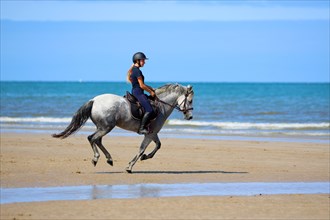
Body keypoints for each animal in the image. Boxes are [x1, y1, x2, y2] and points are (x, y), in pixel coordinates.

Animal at [51, 83, 193, 173]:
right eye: (190, 101)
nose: (190, 116)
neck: (161, 106)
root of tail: (94, 100)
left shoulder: (153, 133)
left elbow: (158, 145)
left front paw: (145, 157)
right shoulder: (149, 133)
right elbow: (142, 149)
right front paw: (130, 166)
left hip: (102, 127)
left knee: (97, 140)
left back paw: (109, 159)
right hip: (106, 127)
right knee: (92, 138)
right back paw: (96, 158)